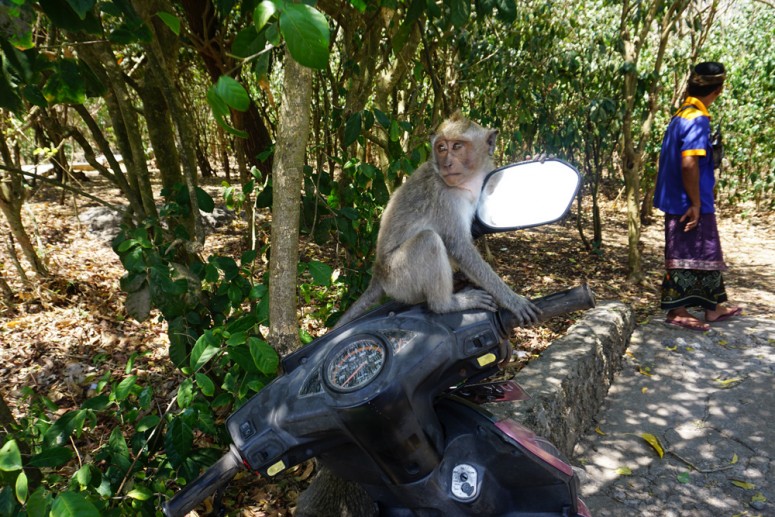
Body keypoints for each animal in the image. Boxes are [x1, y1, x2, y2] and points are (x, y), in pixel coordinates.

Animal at [334, 111, 540, 328]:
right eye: (441, 148)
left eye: (457, 146)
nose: (447, 164)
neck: (467, 180)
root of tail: (377, 275)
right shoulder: (444, 197)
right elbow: (460, 246)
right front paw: (513, 300)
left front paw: (535, 158)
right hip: (398, 279)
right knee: (429, 240)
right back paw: (447, 304)